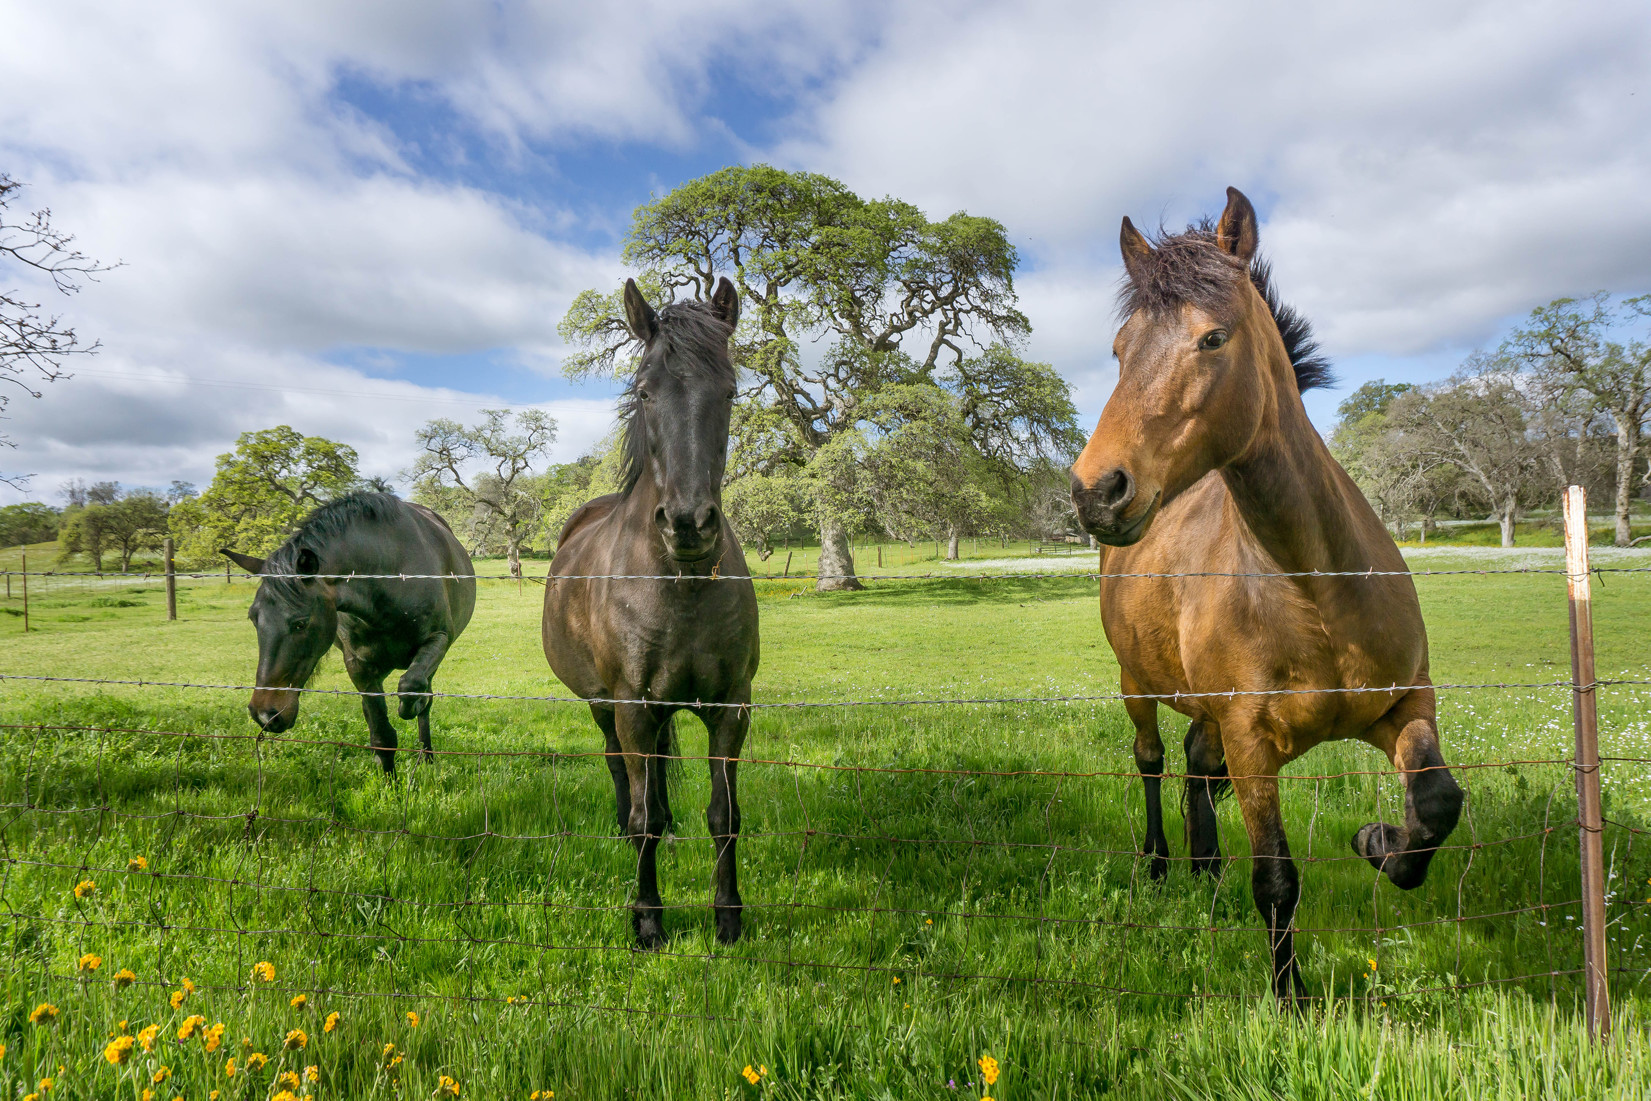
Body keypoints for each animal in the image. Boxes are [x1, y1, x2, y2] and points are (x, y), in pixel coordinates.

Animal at [224, 491, 478, 775]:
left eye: (300, 623)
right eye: (254, 618)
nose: (264, 714)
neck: (389, 580)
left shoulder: (438, 640)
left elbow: (412, 687)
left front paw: (410, 711)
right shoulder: (359, 665)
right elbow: (382, 734)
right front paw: (389, 780)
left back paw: (426, 753)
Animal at [541, 274, 759, 950]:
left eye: (730, 391)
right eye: (643, 391)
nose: (688, 523)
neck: (678, 583)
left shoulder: (729, 709)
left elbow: (725, 816)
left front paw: (728, 918)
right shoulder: (632, 707)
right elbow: (641, 822)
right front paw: (647, 921)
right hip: (606, 709)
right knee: (622, 775)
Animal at [1076, 189, 1466, 997]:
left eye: (1211, 337)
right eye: (1120, 350)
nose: (1096, 490)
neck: (1317, 592)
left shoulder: (1406, 701)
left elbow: (1438, 801)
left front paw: (1379, 842)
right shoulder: (1252, 746)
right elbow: (1278, 880)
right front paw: (1291, 999)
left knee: (1195, 764)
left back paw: (1205, 867)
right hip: (1135, 684)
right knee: (1152, 760)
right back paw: (1161, 865)